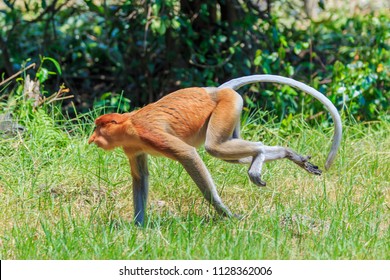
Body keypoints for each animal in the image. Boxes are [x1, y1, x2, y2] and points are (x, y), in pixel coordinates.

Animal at [87, 74, 342, 225]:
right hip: (232, 113)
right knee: (232, 151)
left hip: (226, 107)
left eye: (98, 127)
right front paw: (139, 226)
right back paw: (288, 154)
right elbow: (140, 177)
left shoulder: (148, 133)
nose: (91, 139)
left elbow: (187, 154)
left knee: (215, 147)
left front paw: (225, 213)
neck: (128, 123)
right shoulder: (133, 148)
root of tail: (216, 91)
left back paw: (259, 157)